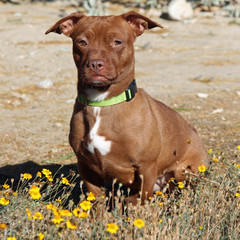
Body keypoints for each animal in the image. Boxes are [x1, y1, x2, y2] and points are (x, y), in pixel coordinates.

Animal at [46, 11, 208, 204]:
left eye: (117, 42)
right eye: (82, 42)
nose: (95, 64)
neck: (102, 103)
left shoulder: (146, 168)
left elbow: (142, 202)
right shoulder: (86, 168)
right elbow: (97, 204)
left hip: (182, 173)